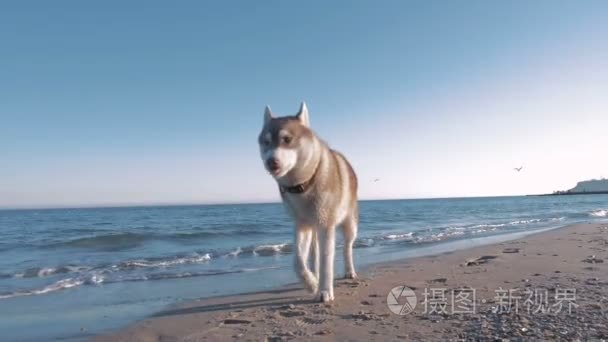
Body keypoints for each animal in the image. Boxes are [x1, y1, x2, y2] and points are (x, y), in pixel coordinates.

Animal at [256, 102, 356, 302]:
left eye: (287, 139)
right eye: (266, 142)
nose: (271, 162)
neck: (304, 185)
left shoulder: (326, 225)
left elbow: (326, 261)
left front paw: (325, 291)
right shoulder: (301, 224)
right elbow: (297, 261)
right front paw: (311, 284)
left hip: (350, 224)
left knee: (347, 247)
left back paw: (349, 271)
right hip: (313, 228)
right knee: (313, 254)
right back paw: (314, 275)